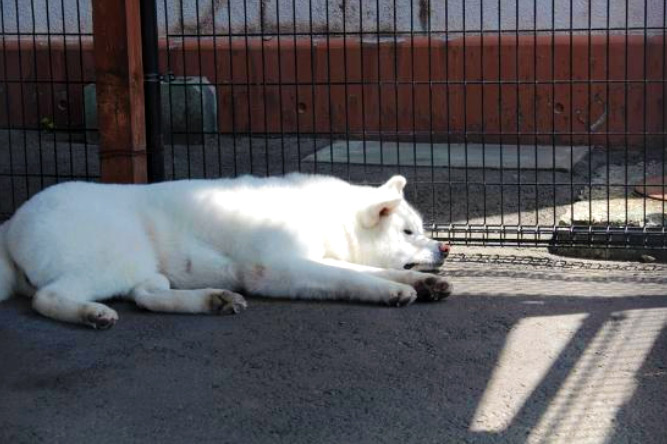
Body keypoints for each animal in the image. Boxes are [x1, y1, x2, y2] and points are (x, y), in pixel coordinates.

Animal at [0, 173, 452, 330]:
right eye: (408, 231)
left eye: (421, 230)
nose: (446, 247)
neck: (327, 216)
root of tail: (12, 224)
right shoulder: (280, 268)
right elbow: (351, 278)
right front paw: (393, 292)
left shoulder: (318, 257)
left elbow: (365, 271)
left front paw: (422, 283)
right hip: (115, 258)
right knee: (48, 297)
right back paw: (90, 314)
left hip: (146, 267)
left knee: (146, 296)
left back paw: (213, 300)